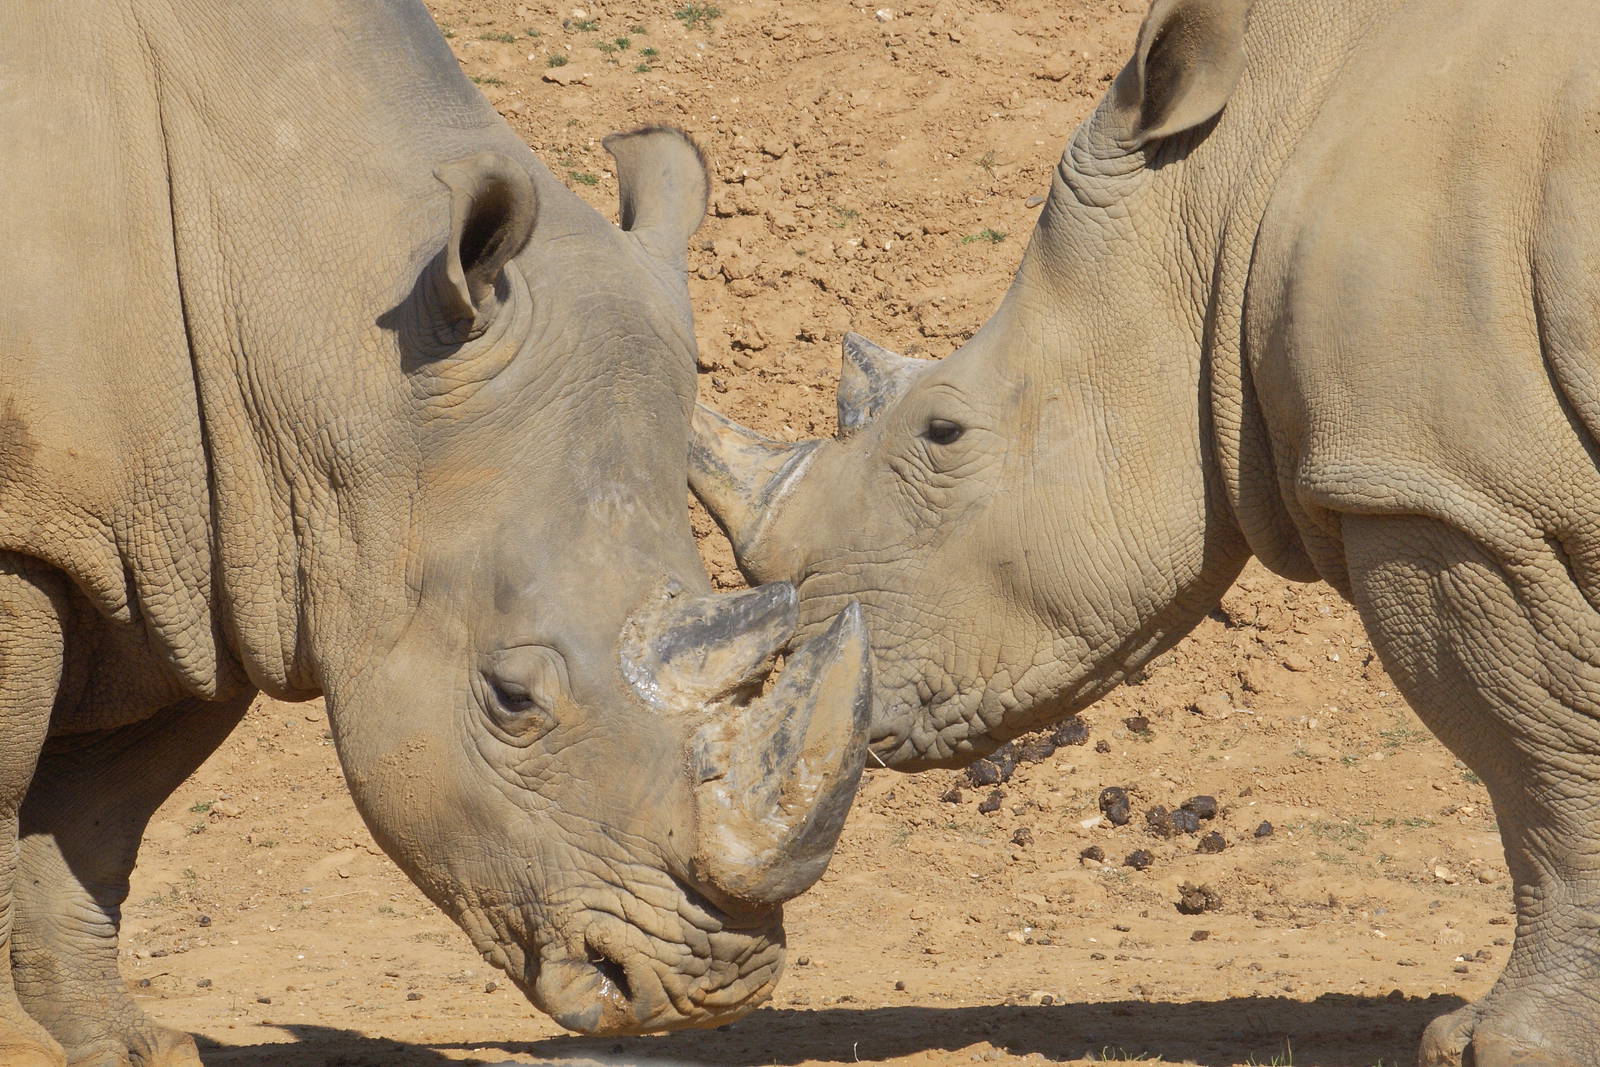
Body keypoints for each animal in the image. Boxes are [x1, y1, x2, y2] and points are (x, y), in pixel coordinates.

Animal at [0, 1, 874, 1061]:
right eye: (511, 699)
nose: (715, 989)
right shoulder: (49, 532)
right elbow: (9, 789)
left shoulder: (206, 551)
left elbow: (95, 823)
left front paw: (125, 1046)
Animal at [691, 0, 1600, 1062]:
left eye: (943, 432)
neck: (1230, 174)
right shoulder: (1461, 483)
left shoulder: (1445, 491)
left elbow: (1539, 760)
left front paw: (1501, 1045)